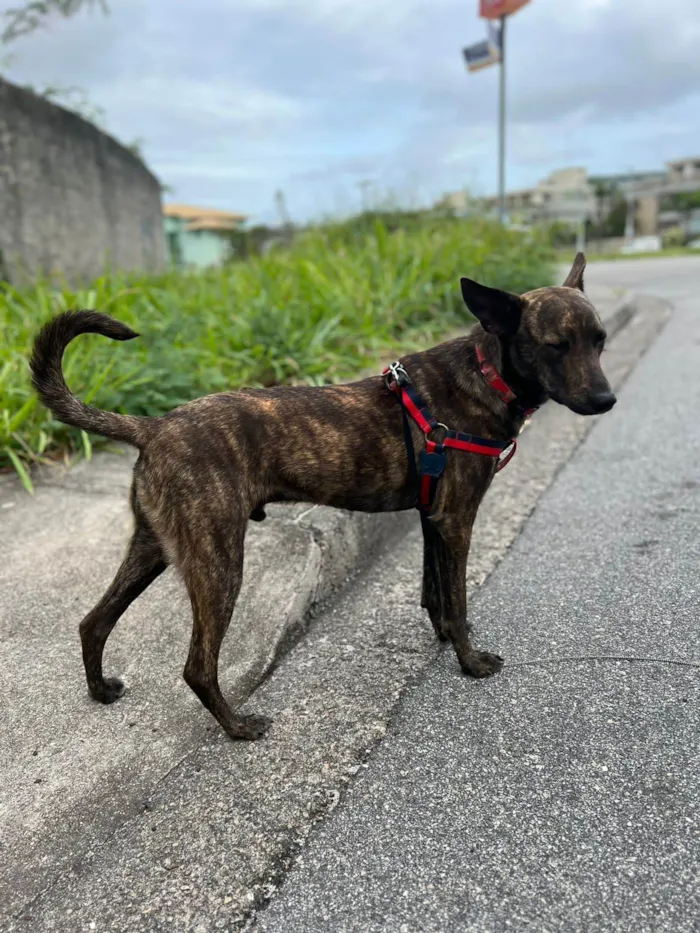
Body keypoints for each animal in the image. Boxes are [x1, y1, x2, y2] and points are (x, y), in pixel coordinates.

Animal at [30, 251, 616, 740]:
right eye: (556, 346)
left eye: (600, 340)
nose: (607, 400)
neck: (487, 371)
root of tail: (153, 427)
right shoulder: (456, 520)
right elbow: (457, 601)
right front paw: (470, 662)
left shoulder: (433, 518)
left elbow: (435, 595)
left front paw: (445, 641)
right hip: (218, 562)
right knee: (196, 666)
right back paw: (238, 726)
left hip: (155, 547)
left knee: (93, 622)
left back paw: (100, 690)